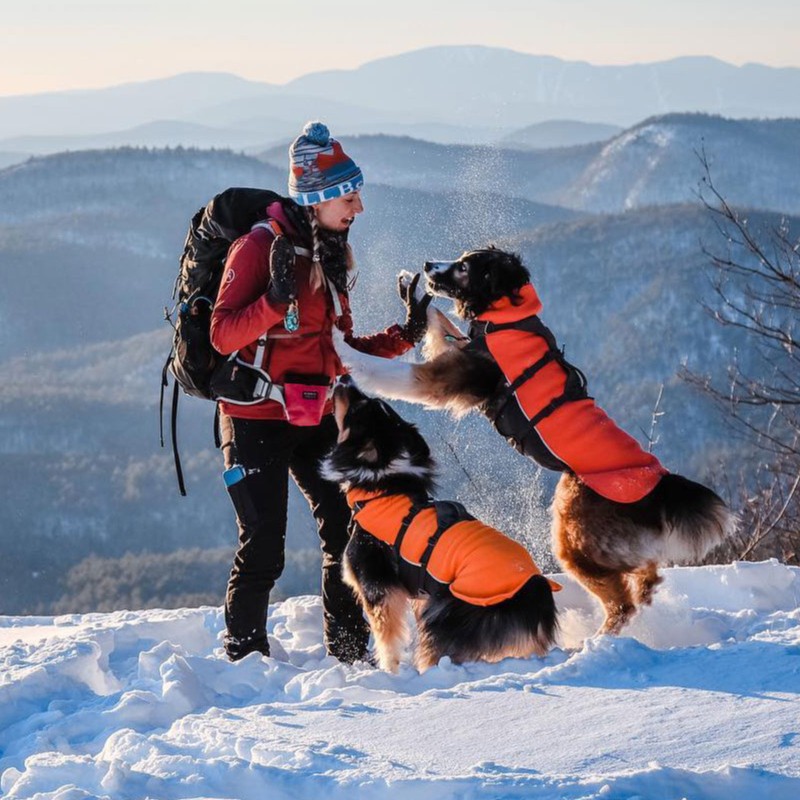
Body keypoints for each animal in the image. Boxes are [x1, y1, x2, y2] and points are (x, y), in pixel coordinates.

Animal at [318, 378, 556, 672]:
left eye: (357, 409)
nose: (343, 379)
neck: (383, 486)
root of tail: (535, 593)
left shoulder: (376, 586)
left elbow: (387, 637)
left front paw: (390, 670)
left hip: (446, 612)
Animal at [332, 247, 736, 636]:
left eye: (464, 268)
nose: (430, 265)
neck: (506, 316)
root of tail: (660, 481)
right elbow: (439, 321)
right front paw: (411, 289)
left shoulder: (443, 377)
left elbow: (388, 371)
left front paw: (343, 349)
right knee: (647, 580)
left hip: (576, 535)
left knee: (623, 603)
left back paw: (597, 640)